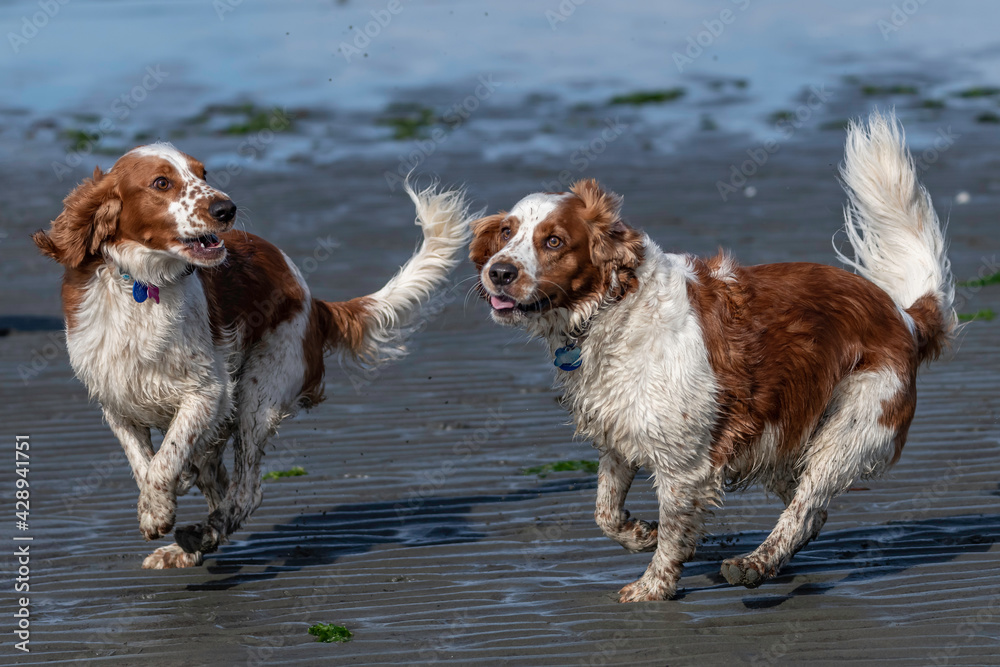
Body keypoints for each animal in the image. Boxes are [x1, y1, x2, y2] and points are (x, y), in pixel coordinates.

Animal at [30, 142, 468, 568]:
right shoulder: (117, 401)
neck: (143, 284)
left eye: (203, 173)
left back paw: (197, 535)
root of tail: (313, 300)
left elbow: (164, 460)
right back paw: (193, 542)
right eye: (161, 183)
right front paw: (158, 506)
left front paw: (156, 512)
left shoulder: (206, 393)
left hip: (259, 396)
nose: (226, 208)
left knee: (247, 491)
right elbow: (143, 463)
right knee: (220, 482)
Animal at [472, 112, 956, 604]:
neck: (614, 309)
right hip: (780, 437)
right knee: (812, 512)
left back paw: (752, 564)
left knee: (804, 507)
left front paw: (653, 586)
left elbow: (672, 532)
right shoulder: (620, 435)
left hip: (851, 427)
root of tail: (904, 315)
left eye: (553, 241)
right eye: (507, 232)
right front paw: (640, 533)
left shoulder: (684, 462)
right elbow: (605, 514)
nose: (499, 272)